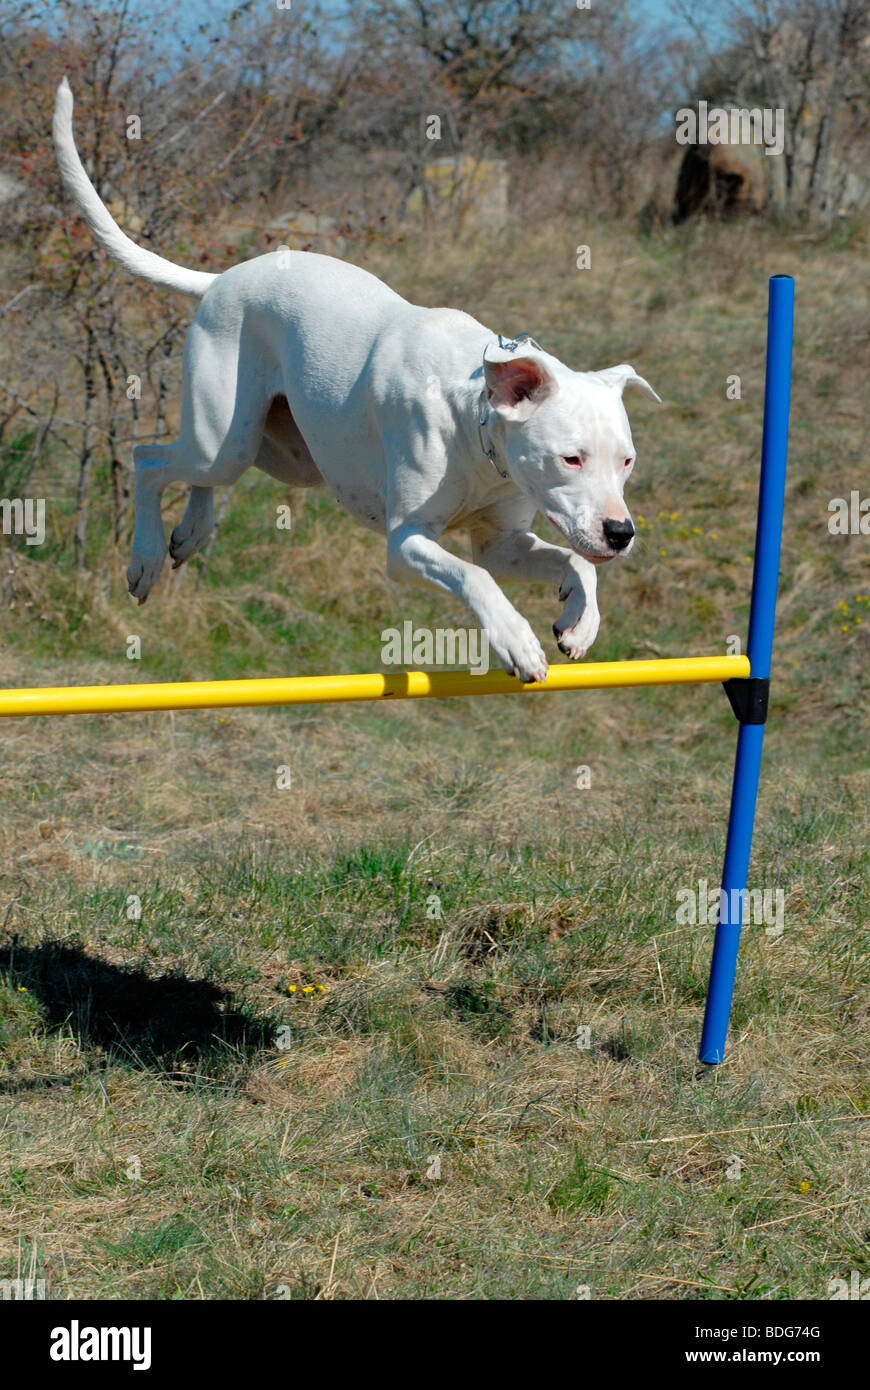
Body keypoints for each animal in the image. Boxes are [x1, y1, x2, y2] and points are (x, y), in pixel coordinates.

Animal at [52, 78, 655, 681]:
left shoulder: (501, 541)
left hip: (285, 455)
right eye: (570, 458)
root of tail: (223, 278)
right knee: (151, 459)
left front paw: (580, 620)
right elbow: (474, 576)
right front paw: (515, 641)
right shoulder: (406, 544)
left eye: (627, 461)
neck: (475, 420)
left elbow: (574, 561)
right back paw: (146, 558)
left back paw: (191, 531)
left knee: (201, 469)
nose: (621, 533)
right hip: (222, 438)